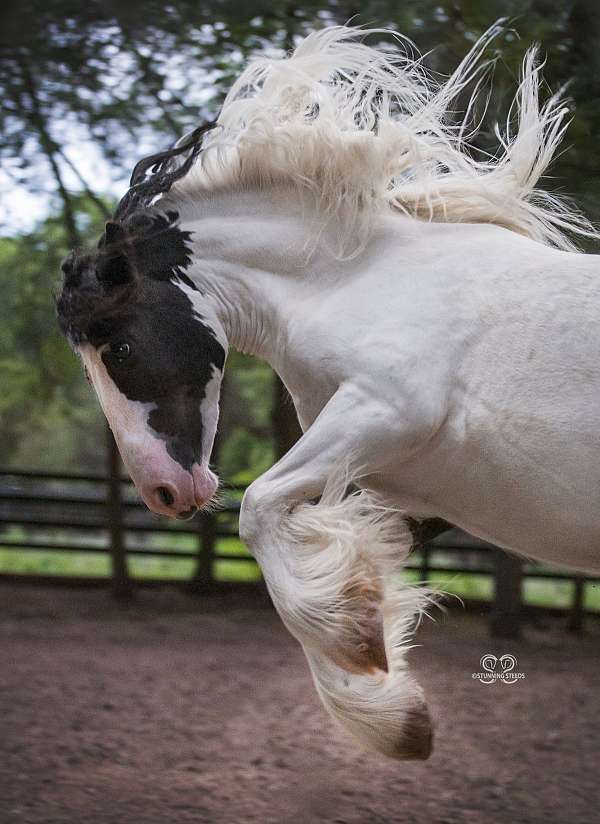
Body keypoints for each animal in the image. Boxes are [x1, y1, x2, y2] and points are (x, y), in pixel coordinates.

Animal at [57, 25, 600, 760]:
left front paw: (367, 667)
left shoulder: (384, 412)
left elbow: (256, 510)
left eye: (117, 348)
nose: (163, 492)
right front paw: (392, 706)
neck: (355, 279)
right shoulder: (409, 491)